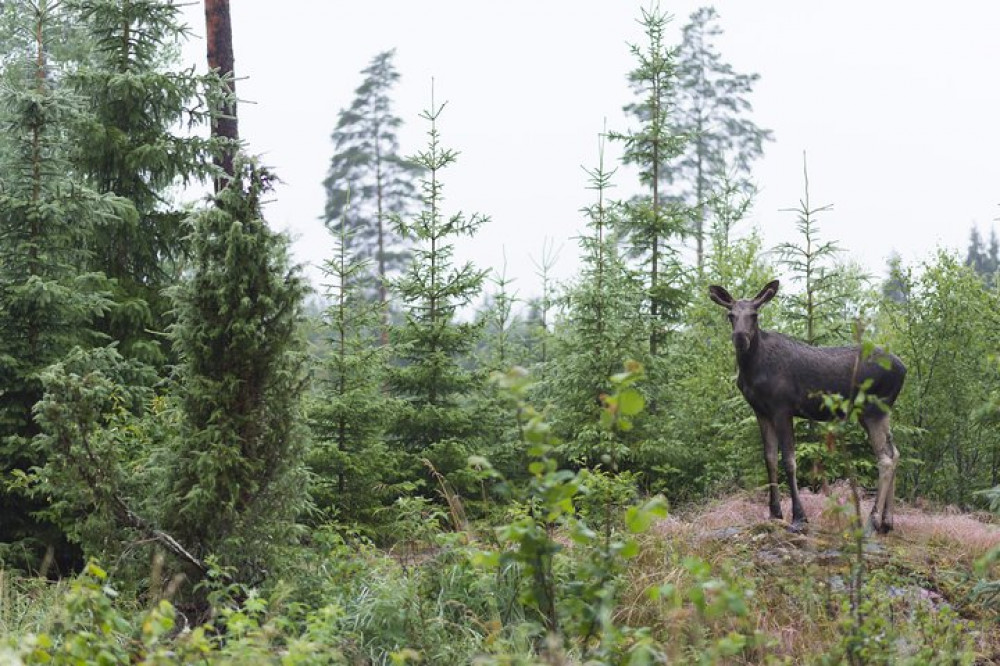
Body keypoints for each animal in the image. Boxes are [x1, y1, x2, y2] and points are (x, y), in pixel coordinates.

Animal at [708, 280, 912, 536]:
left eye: (754, 315)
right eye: (730, 315)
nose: (740, 338)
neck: (752, 370)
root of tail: (904, 368)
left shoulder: (782, 407)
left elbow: (789, 460)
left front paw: (799, 518)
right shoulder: (761, 411)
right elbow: (769, 459)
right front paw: (775, 514)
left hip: (873, 409)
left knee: (885, 459)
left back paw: (871, 521)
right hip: (876, 412)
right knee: (895, 453)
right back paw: (887, 521)